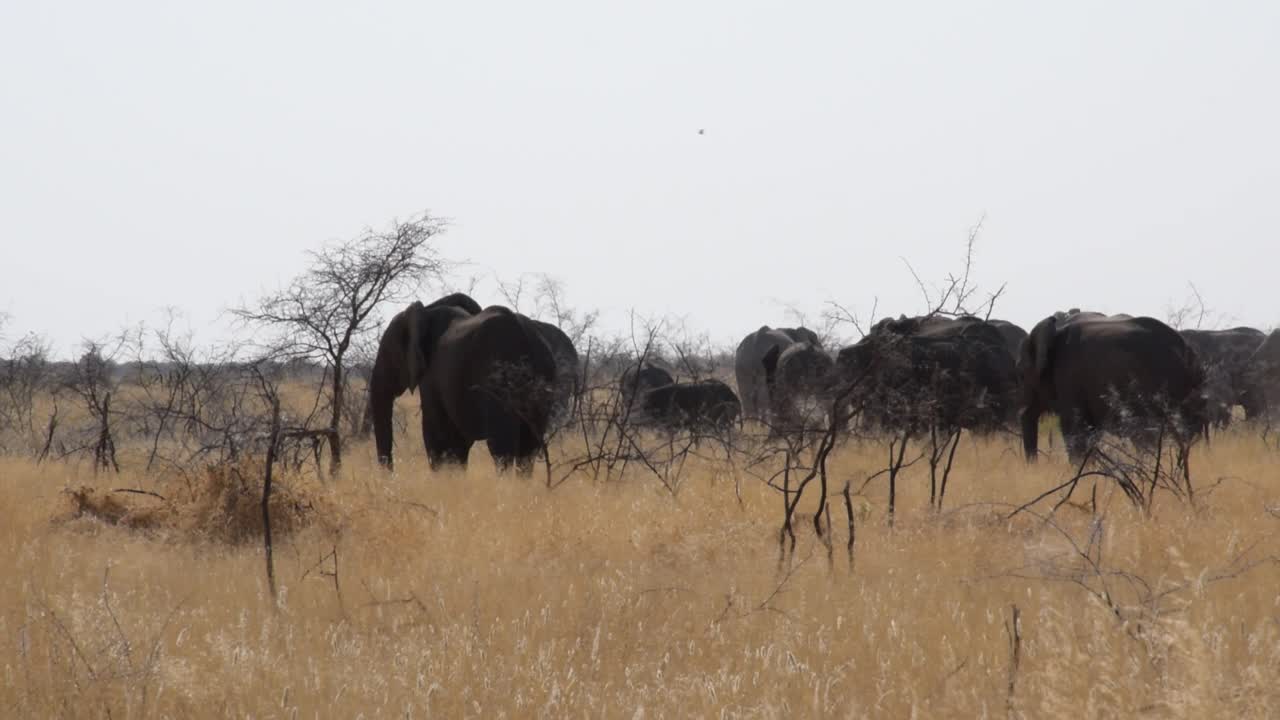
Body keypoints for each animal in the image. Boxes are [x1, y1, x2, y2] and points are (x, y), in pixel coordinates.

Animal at [366, 297, 555, 471]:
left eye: (388, 355)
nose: (391, 475)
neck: (427, 311)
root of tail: (525, 336)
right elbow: (458, 445)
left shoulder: (432, 376)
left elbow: (436, 436)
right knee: (528, 447)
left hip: (499, 379)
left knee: (502, 446)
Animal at [1013, 312, 1203, 458]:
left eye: (1021, 375)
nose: (1033, 467)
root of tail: (1187, 351)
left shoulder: (1067, 376)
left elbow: (1074, 428)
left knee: (1145, 433)